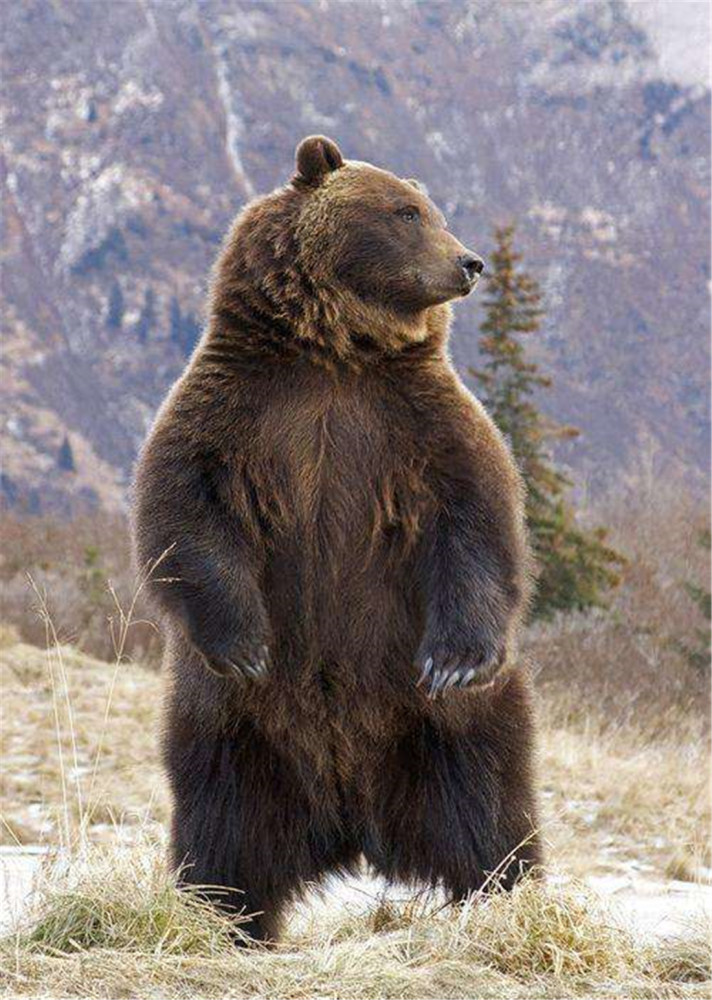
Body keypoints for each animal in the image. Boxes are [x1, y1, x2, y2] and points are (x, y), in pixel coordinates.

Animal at [134, 137, 540, 940]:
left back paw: (511, 902)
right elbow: (185, 511)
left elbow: (477, 518)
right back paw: (223, 917)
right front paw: (247, 643)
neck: (336, 351)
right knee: (221, 823)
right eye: (406, 211)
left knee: (489, 809)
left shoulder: (416, 422)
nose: (471, 262)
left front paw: (454, 658)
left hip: (441, 728)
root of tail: (353, 825)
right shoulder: (236, 409)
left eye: (430, 209)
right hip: (232, 728)